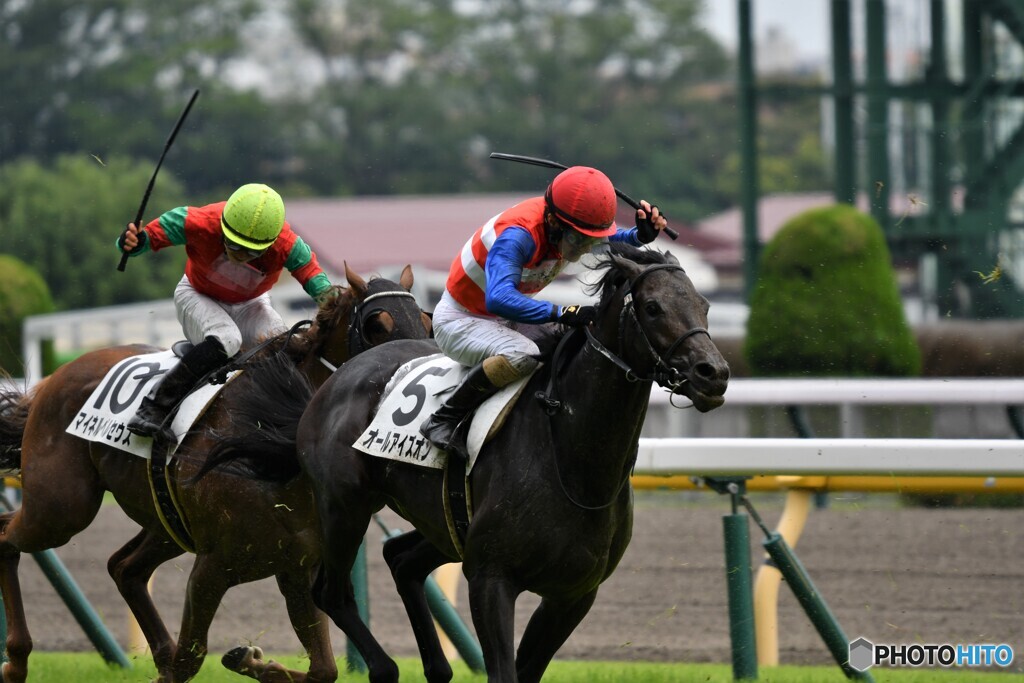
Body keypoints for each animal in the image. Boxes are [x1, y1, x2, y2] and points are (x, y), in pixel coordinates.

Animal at [0, 266, 428, 683]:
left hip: (164, 524)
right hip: (60, 509)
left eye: (426, 321)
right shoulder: (212, 568)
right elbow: (189, 661)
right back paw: (16, 660)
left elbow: (324, 669)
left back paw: (156, 651)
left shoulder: (296, 568)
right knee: (8, 537)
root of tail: (54, 378)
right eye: (376, 325)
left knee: (124, 568)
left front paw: (251, 660)